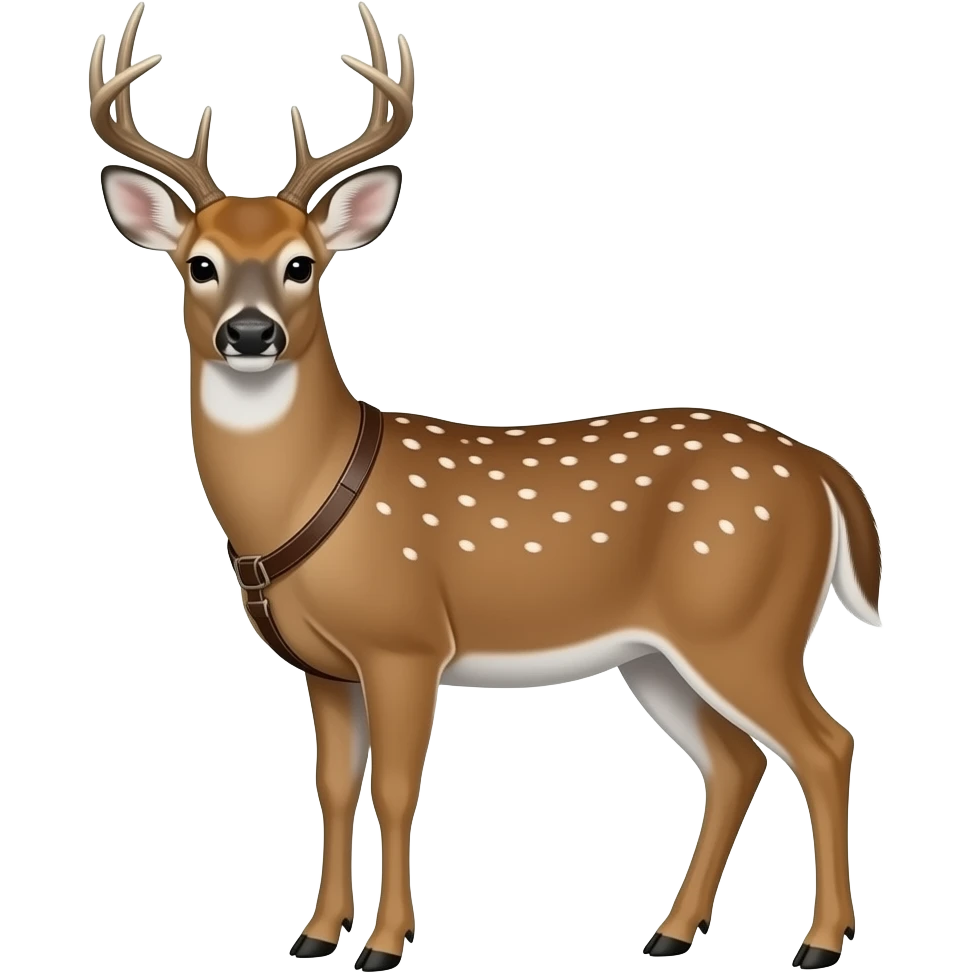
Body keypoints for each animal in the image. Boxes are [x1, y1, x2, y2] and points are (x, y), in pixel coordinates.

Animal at [89, 3, 881, 969]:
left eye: (302, 263)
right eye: (198, 263)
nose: (249, 333)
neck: (301, 496)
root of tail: (821, 468)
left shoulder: (405, 641)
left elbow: (395, 786)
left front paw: (383, 942)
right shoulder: (326, 666)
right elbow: (331, 785)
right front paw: (314, 934)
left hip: (744, 621)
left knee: (825, 743)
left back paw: (819, 941)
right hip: (658, 651)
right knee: (735, 760)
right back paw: (670, 931)